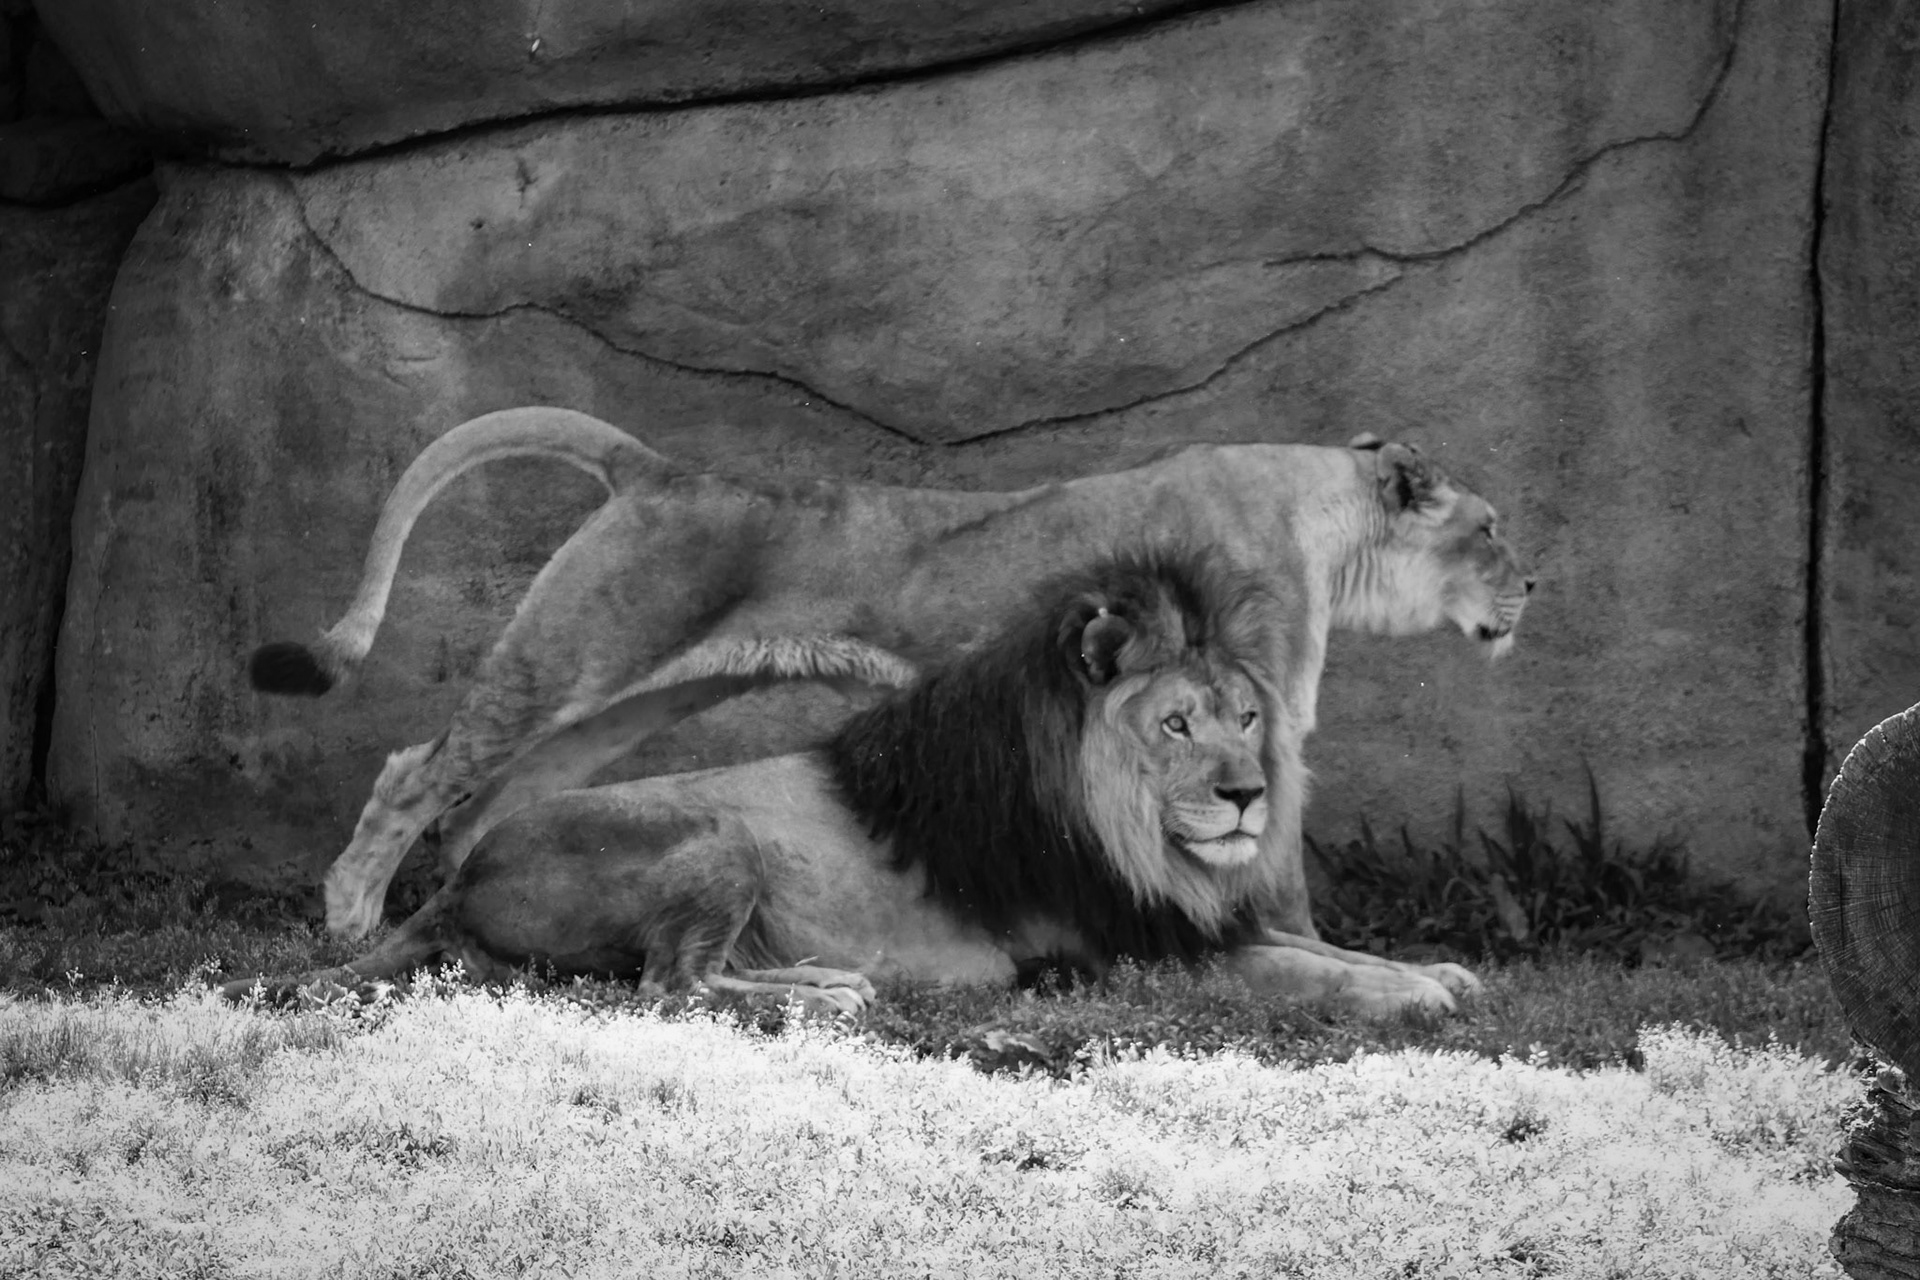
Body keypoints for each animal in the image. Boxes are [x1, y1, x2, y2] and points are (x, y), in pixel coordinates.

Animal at [226, 546, 1480, 1017]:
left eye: (1247, 717)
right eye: (1176, 723)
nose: (1246, 794)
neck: (1134, 833)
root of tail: (459, 874)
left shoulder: (1194, 914)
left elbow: (1328, 949)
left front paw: (1439, 967)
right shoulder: (1122, 952)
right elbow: (1299, 970)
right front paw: (1419, 992)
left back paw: (824, 978)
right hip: (717, 832)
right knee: (669, 986)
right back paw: (825, 995)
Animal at [250, 407, 1532, 941]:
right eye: (1490, 528)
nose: (1533, 585)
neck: (1323, 520)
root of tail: (658, 469)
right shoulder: (1258, 714)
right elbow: (1273, 857)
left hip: (631, 693)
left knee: (497, 800)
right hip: (573, 654)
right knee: (417, 771)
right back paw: (349, 922)